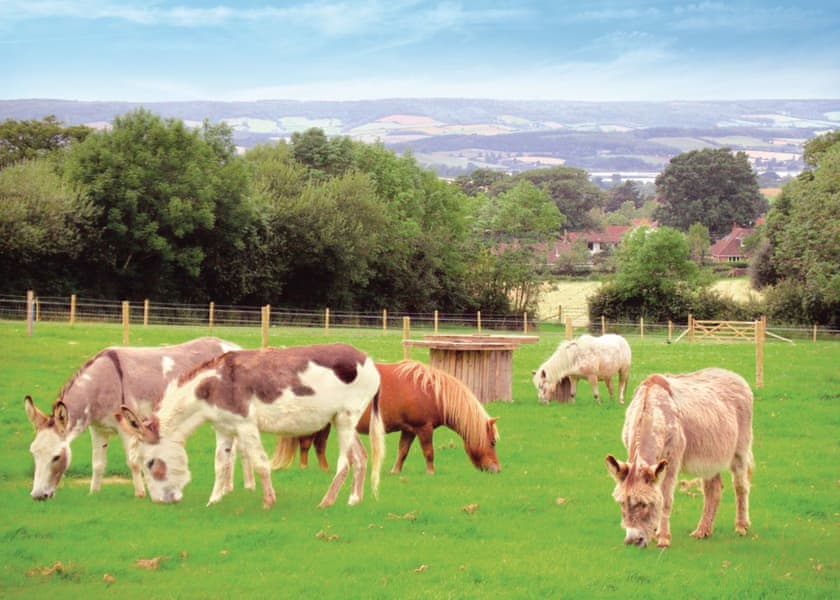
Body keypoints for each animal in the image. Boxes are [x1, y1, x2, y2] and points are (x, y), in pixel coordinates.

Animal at [24, 338, 241, 502]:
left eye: (56, 457)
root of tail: (233, 346)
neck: (101, 384)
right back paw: (228, 488)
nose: (37, 496)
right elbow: (98, 463)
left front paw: (140, 493)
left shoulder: (126, 427)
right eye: (33, 453)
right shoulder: (98, 428)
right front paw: (93, 493)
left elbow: (133, 461)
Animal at [119, 344, 388, 508]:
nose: (161, 501)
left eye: (150, 463)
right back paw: (354, 500)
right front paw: (213, 501)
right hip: (341, 419)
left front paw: (268, 501)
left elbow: (260, 463)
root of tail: (369, 360)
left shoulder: (245, 425)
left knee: (345, 462)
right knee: (361, 457)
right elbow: (221, 464)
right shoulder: (224, 428)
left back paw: (326, 502)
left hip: (346, 418)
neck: (210, 388)